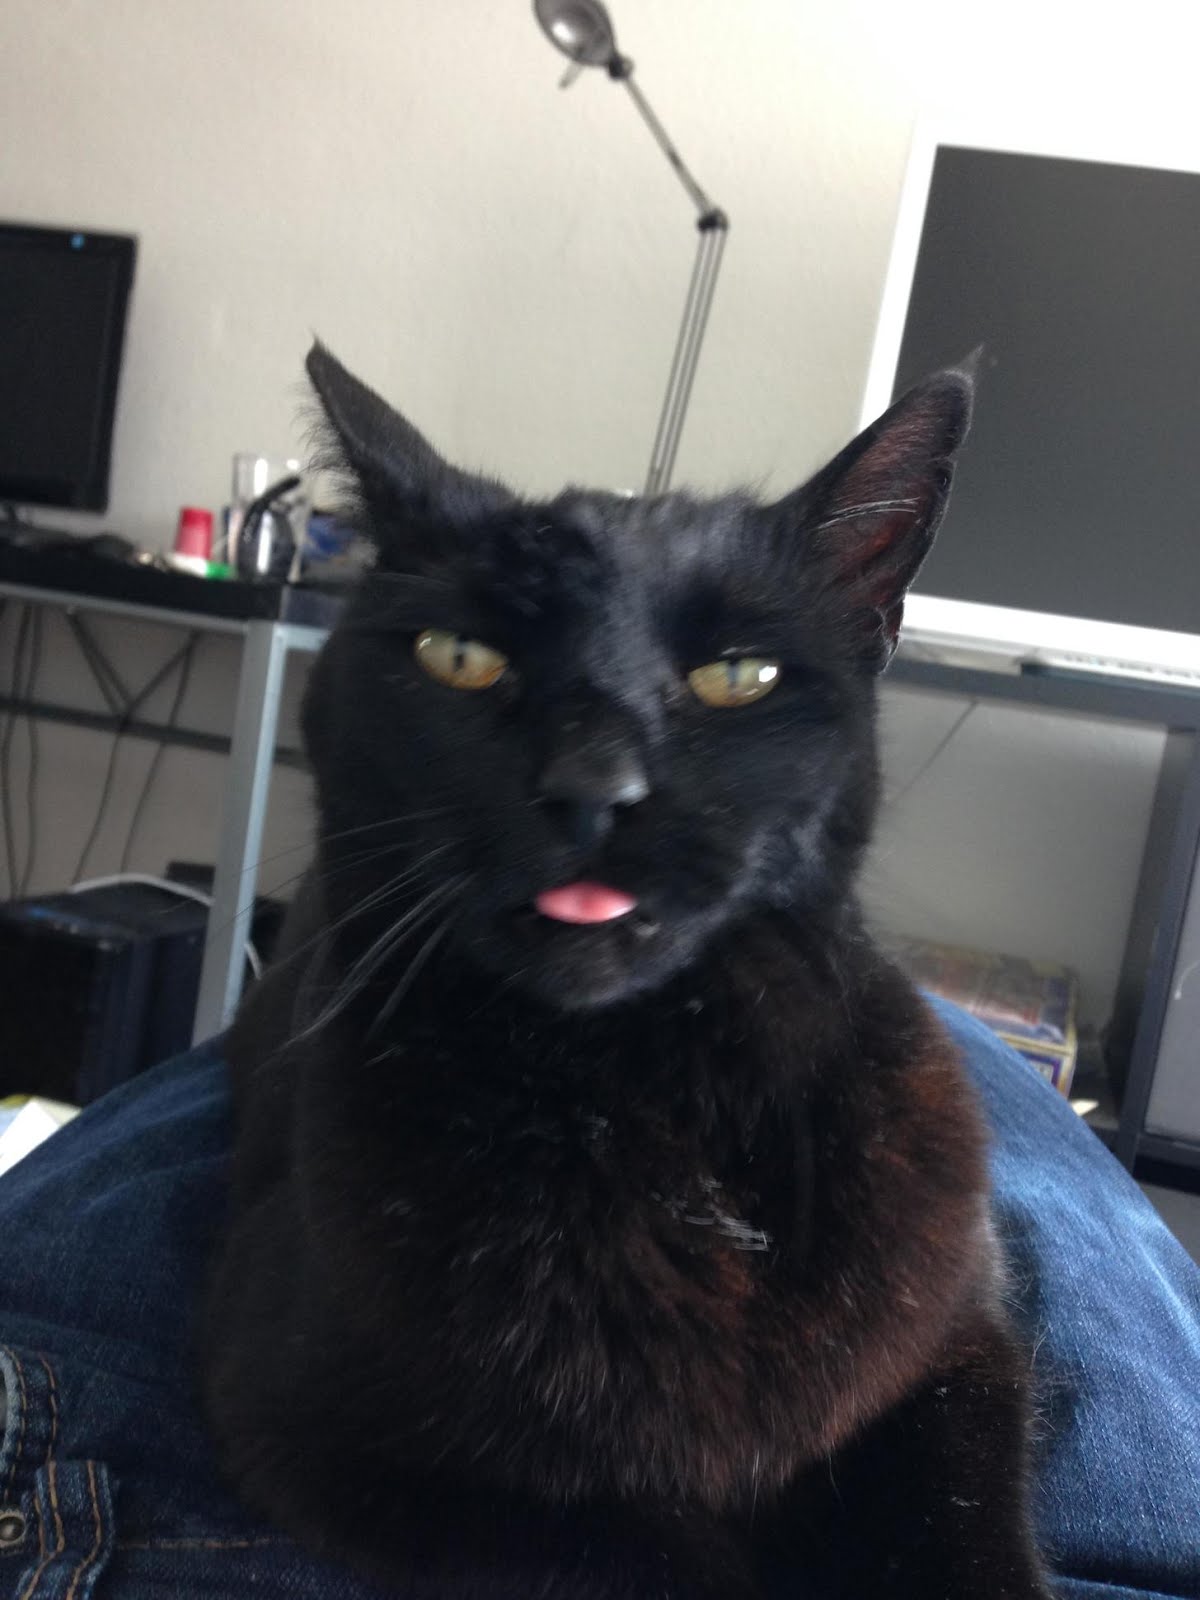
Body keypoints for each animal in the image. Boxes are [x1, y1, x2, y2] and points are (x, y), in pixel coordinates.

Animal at [200, 343, 1050, 1599]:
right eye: (461, 658)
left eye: (739, 677)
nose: (592, 786)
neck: (667, 1103)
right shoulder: (324, 1433)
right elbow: (652, 1551)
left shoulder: (960, 1354)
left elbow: (971, 1535)